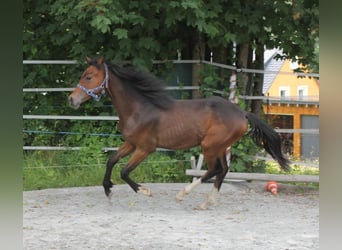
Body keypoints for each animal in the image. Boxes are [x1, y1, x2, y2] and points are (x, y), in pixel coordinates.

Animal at [69, 56, 288, 209]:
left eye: (88, 77)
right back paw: (206, 203)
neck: (139, 108)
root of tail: (242, 113)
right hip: (219, 147)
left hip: (209, 146)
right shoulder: (131, 143)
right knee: (223, 170)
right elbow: (111, 161)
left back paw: (183, 194)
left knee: (214, 170)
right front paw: (108, 189)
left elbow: (124, 171)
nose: (72, 99)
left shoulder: (145, 148)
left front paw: (145, 191)